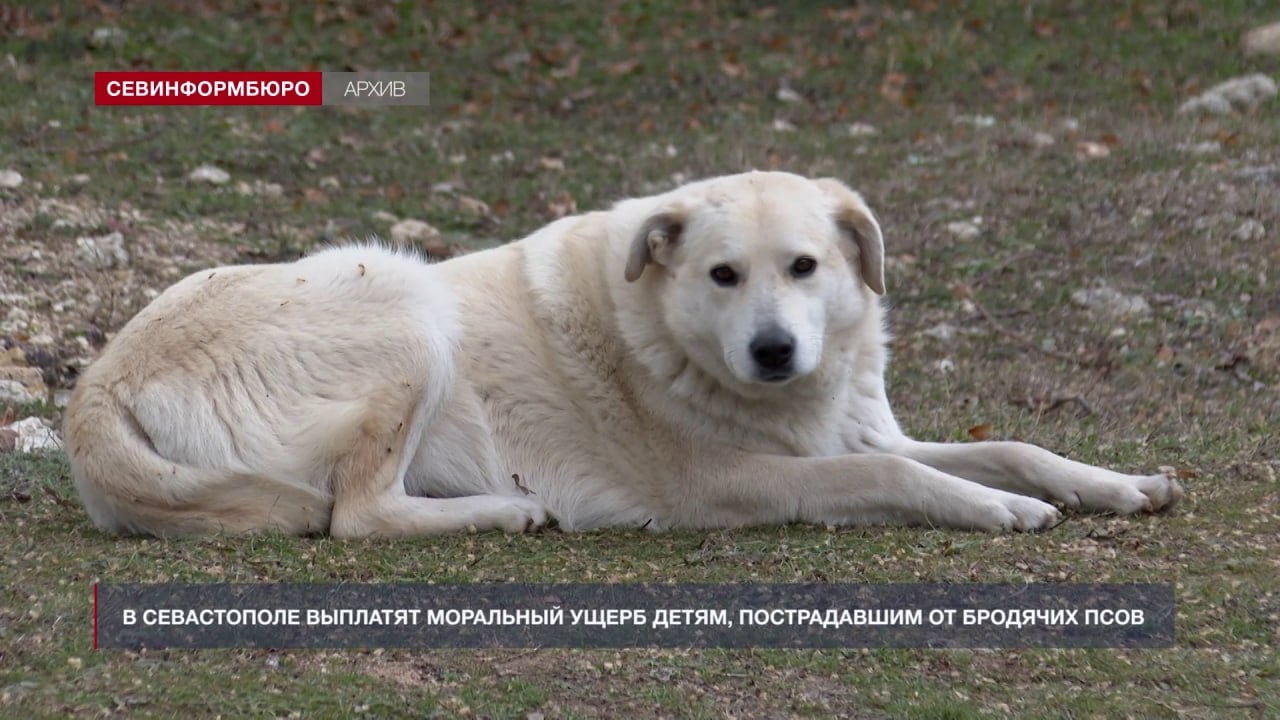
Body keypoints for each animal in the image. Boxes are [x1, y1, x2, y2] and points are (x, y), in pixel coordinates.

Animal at [62, 170, 1177, 535]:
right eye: (723, 275)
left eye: (805, 266)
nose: (775, 351)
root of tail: (96, 388)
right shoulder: (733, 483)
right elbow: (902, 474)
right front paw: (997, 510)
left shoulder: (852, 431)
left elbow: (1005, 447)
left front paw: (1116, 485)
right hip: (404, 303)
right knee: (356, 516)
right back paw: (505, 511)